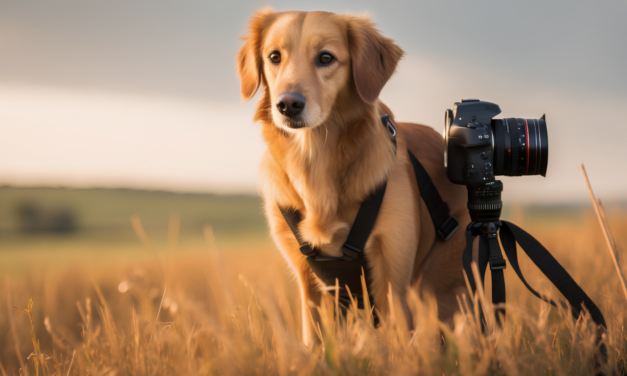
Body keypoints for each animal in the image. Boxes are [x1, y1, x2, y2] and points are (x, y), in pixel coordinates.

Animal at [237, 8, 472, 346]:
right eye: (274, 56)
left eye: (326, 57)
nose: (287, 105)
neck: (316, 162)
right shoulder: (310, 285)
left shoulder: (392, 280)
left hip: (438, 286)